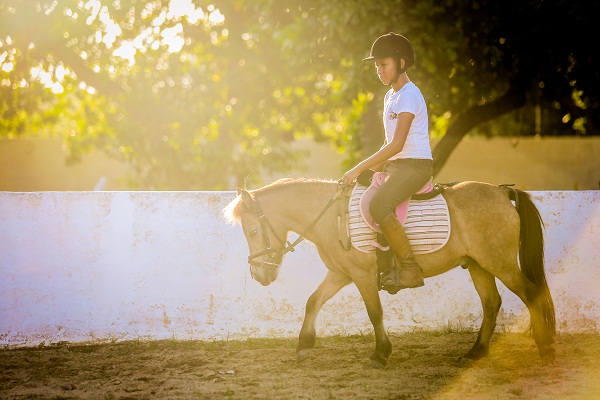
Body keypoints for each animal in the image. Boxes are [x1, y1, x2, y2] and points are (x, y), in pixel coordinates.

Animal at [223, 178, 556, 368]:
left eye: (253, 231)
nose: (260, 275)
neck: (332, 217)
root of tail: (502, 194)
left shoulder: (361, 275)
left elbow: (375, 312)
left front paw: (381, 353)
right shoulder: (341, 274)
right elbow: (313, 301)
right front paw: (304, 346)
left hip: (499, 262)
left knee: (531, 294)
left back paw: (545, 348)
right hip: (478, 265)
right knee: (491, 303)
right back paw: (476, 352)